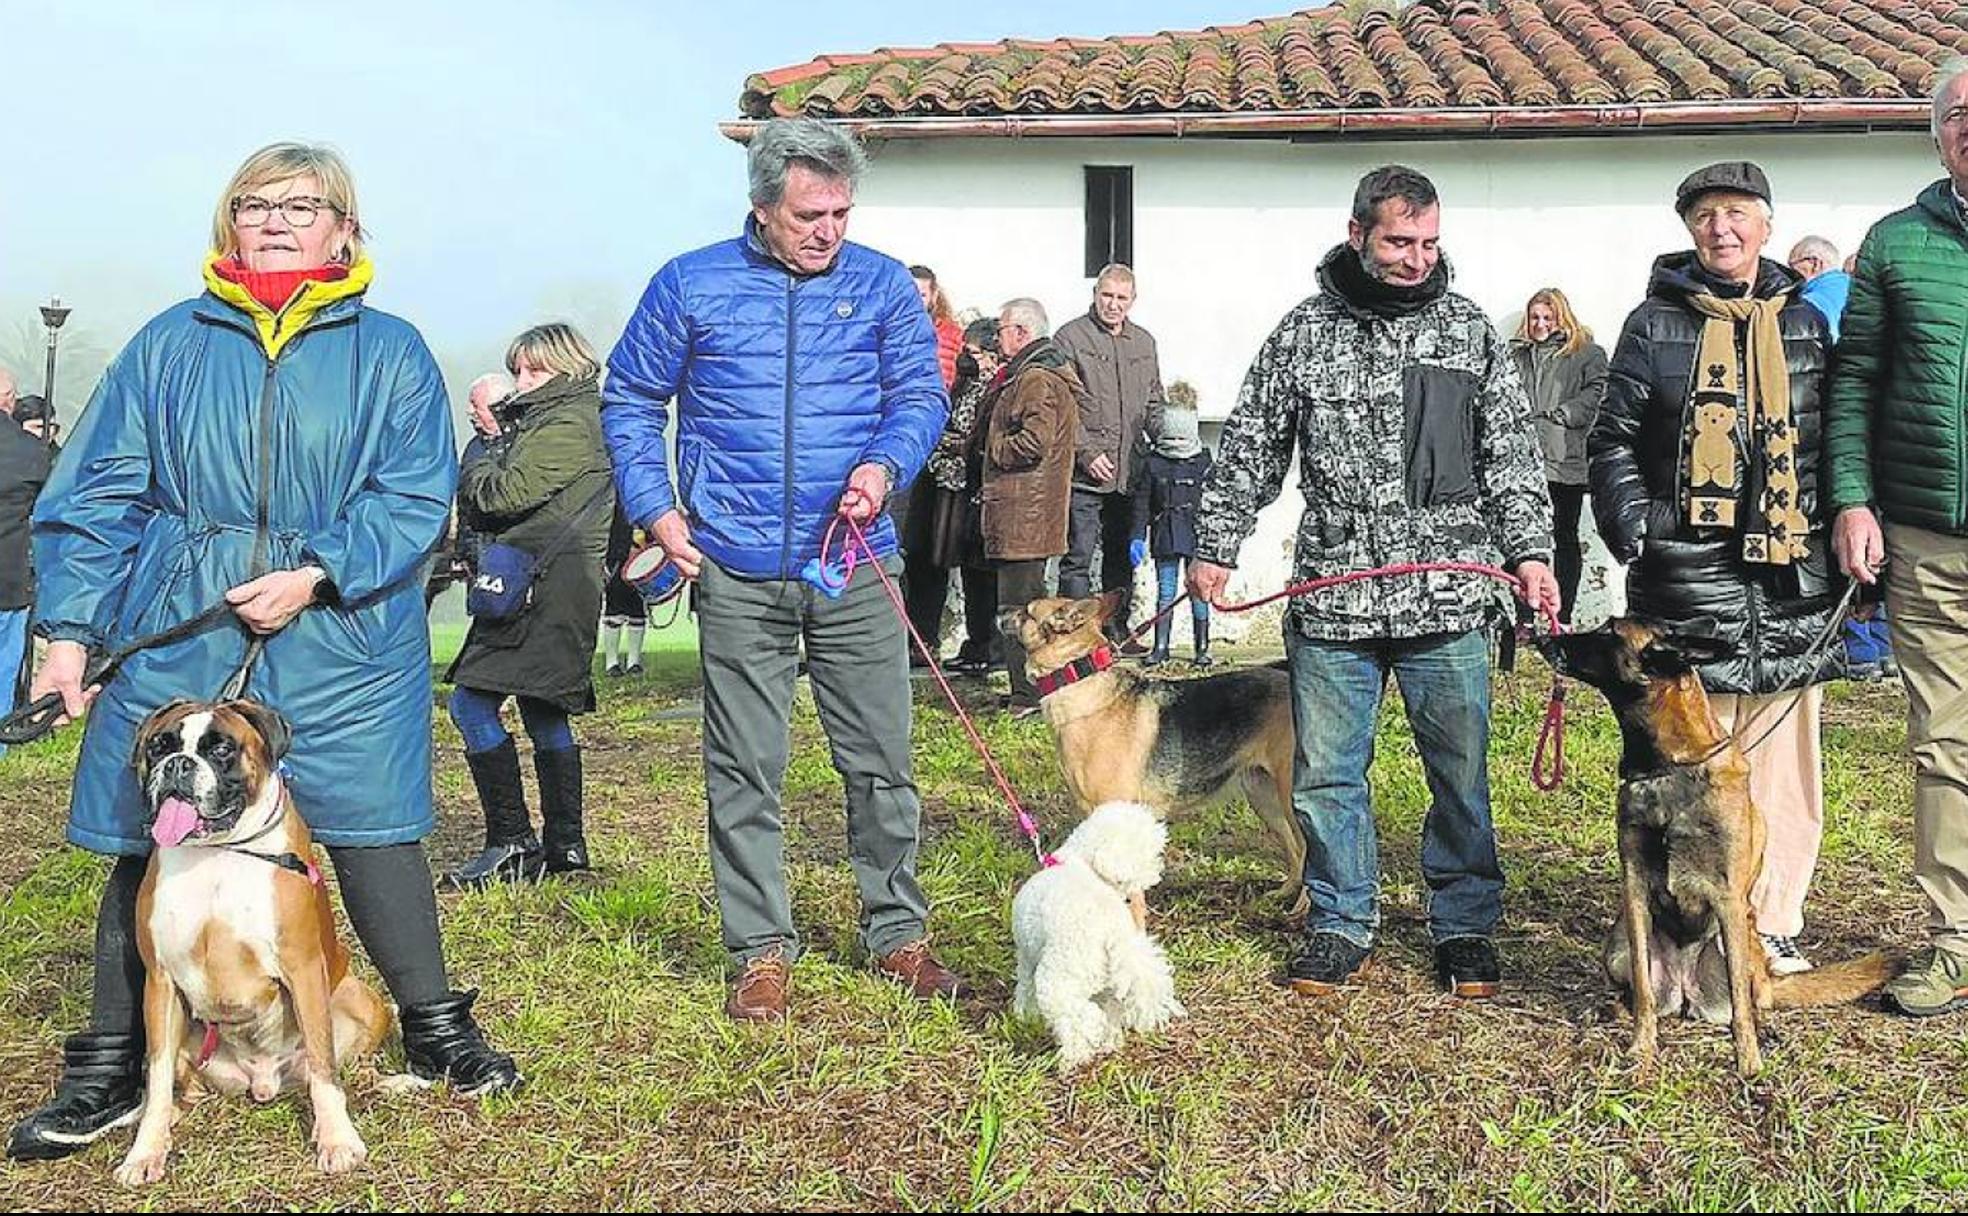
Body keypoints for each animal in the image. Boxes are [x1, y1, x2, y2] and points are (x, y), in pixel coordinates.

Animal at [999, 586, 1306, 909]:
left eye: (1027, 611)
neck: (1079, 681)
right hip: (1264, 797)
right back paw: (1284, 894)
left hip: (1289, 798)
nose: (998, 609)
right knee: (1296, 851)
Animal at [1535, 621, 1889, 1078]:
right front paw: (1641, 1048)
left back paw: (1765, 1031)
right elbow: (1644, 993)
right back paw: (1609, 1008)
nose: (1541, 634)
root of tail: (1686, 990)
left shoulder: (1727, 900)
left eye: (1609, 631)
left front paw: (1749, 1061)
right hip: (1616, 945)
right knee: (1638, 992)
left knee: (1754, 1000)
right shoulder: (1634, 890)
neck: (1667, 768)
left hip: (1738, 941)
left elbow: (1739, 1004)